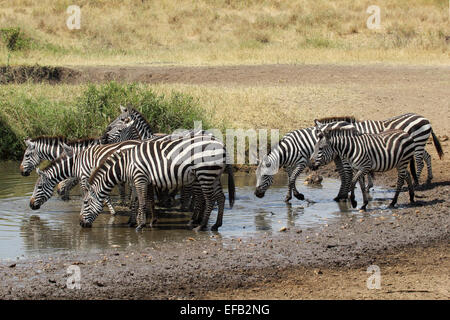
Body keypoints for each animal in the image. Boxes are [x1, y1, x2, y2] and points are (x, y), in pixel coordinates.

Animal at [80, 131, 236, 231]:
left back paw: (200, 226)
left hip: (205, 173)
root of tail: (222, 145)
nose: (81, 224)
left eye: (86, 202)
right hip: (214, 175)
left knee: (210, 200)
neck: (126, 164)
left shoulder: (140, 178)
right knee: (220, 198)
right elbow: (147, 201)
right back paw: (216, 225)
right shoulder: (144, 181)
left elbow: (142, 201)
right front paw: (150, 222)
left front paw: (140, 225)